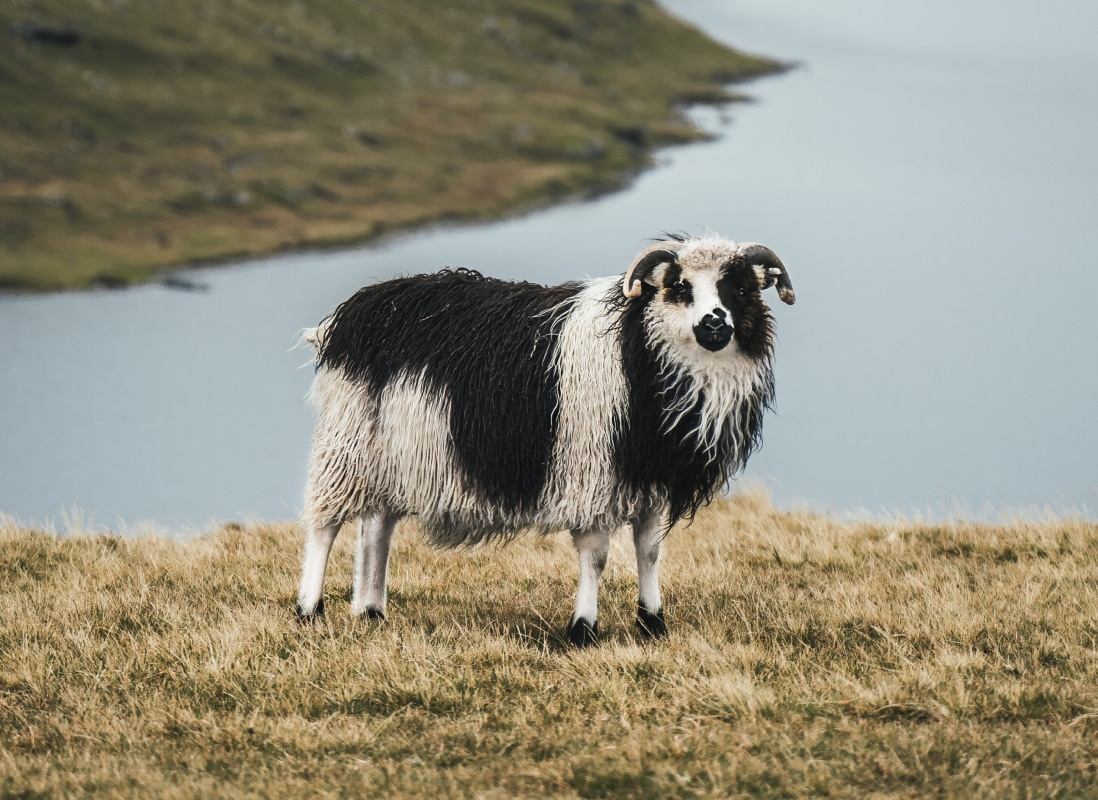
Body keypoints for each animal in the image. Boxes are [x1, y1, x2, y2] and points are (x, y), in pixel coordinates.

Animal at [296, 234, 795, 645]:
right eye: (680, 286)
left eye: (740, 290)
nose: (715, 325)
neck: (637, 349)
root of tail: (352, 311)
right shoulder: (592, 475)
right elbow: (596, 557)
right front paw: (583, 629)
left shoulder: (649, 481)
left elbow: (650, 551)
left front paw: (653, 623)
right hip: (346, 441)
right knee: (326, 526)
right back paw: (309, 610)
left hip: (391, 454)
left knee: (376, 528)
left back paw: (371, 611)